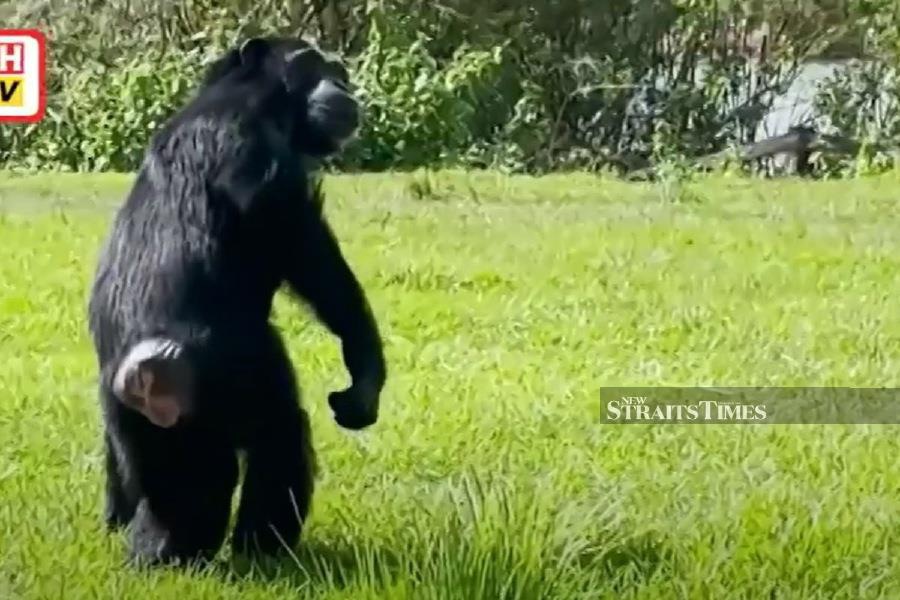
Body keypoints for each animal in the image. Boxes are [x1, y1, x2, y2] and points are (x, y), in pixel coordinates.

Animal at [86, 37, 388, 568]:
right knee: (278, 434)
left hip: (126, 408)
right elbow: (312, 259)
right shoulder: (266, 166)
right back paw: (263, 552)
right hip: (233, 372)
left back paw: (149, 544)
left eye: (339, 72)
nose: (342, 85)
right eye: (312, 64)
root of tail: (148, 368)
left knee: (168, 480)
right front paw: (365, 377)